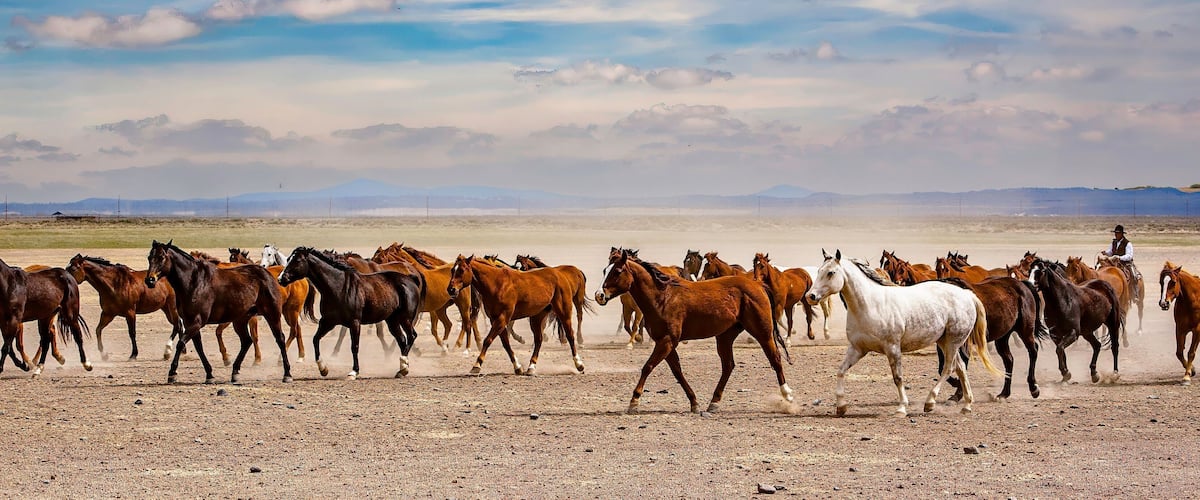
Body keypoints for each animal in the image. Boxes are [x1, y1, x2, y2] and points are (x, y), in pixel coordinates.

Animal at [145, 240, 293, 384]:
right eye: (149, 257)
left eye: (161, 257)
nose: (149, 280)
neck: (194, 282)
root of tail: (268, 275)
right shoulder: (190, 322)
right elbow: (199, 347)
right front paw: (209, 374)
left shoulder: (196, 322)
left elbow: (181, 344)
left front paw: (172, 373)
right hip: (240, 320)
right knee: (246, 341)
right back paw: (235, 372)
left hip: (272, 314)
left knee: (280, 339)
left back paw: (287, 374)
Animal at [279, 247, 424, 380]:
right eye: (288, 259)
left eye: (297, 260)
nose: (281, 278)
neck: (338, 286)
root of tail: (411, 279)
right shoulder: (328, 322)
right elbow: (315, 339)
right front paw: (323, 369)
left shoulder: (354, 323)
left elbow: (354, 346)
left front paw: (354, 372)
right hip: (392, 321)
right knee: (402, 340)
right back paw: (402, 370)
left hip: (405, 319)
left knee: (411, 336)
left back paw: (403, 366)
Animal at [446, 255, 584, 376]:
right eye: (452, 270)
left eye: (462, 270)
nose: (451, 289)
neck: (496, 284)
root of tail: (560, 274)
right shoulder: (495, 319)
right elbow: (506, 343)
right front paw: (518, 367)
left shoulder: (503, 318)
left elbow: (488, 340)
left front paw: (476, 366)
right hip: (536, 317)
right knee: (538, 340)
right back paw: (531, 368)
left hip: (564, 312)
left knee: (570, 335)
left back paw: (579, 364)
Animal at [595, 249, 793, 413]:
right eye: (605, 270)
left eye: (617, 271)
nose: (599, 295)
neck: (662, 297)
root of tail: (758, 285)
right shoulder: (665, 342)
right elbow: (677, 371)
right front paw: (694, 402)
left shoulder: (667, 340)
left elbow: (648, 367)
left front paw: (634, 401)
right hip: (725, 336)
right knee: (728, 365)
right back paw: (714, 402)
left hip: (762, 332)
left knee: (775, 359)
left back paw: (788, 396)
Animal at [806, 250, 997, 416]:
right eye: (819, 271)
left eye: (831, 272)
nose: (811, 296)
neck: (870, 305)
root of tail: (967, 294)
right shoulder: (857, 349)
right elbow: (840, 371)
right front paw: (841, 406)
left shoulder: (892, 348)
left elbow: (897, 377)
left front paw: (901, 408)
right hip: (944, 342)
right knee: (961, 367)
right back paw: (967, 405)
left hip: (952, 342)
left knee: (949, 368)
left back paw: (930, 402)